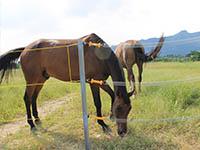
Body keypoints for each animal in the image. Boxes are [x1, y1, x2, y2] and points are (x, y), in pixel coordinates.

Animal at [0, 33, 134, 137]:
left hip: (40, 79)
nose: (122, 132)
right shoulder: (93, 82)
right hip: (32, 80)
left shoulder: (101, 81)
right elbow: (98, 103)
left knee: (34, 98)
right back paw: (32, 125)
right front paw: (103, 125)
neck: (98, 53)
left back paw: (37, 121)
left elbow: (112, 94)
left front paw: (111, 115)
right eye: (119, 108)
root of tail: (25, 49)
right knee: (27, 98)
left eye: (129, 109)